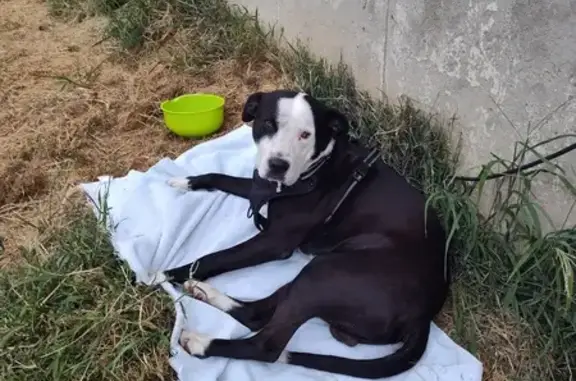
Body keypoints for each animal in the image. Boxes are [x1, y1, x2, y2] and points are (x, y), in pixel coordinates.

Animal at [164, 90, 448, 378]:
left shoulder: (274, 242)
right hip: (319, 275)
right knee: (259, 312)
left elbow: (214, 257)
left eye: (305, 134)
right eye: (269, 124)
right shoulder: (261, 184)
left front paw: (167, 274)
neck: (318, 166)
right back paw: (203, 292)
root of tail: (423, 317)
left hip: (326, 273)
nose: (278, 165)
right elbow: (221, 177)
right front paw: (188, 181)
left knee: (265, 342)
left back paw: (201, 342)